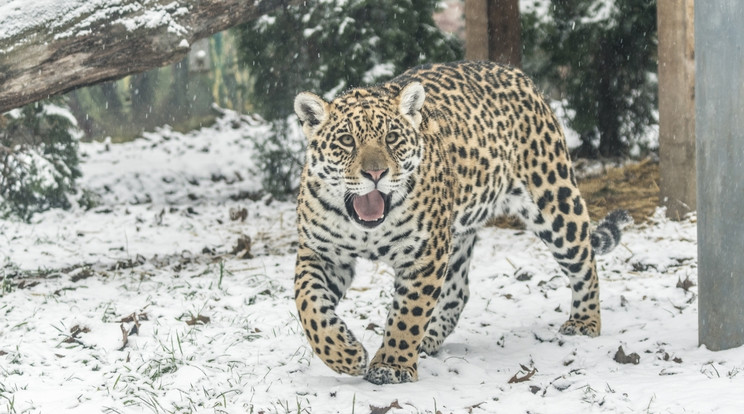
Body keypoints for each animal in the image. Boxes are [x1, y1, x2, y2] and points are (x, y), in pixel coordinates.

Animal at [290, 59, 628, 384]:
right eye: (346, 140)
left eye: (392, 137)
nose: (376, 173)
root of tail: (517, 74)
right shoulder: (321, 254)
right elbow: (308, 304)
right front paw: (344, 354)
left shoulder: (425, 256)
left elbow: (408, 314)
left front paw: (391, 365)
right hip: (457, 236)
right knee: (457, 292)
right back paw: (428, 339)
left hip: (554, 200)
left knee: (585, 260)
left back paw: (584, 322)